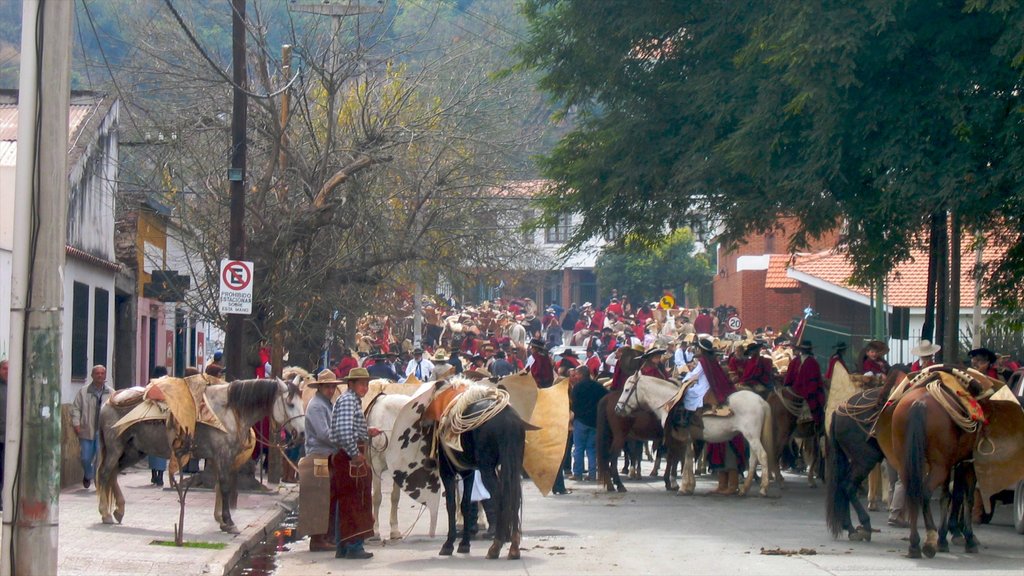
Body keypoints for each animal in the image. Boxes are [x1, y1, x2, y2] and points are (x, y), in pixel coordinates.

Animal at [95, 377, 303, 532]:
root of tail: (108, 402)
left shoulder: (219, 458)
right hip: (115, 448)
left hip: (133, 451)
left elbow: (219, 485)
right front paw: (229, 522)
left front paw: (220, 519)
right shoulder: (223, 455)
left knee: (113, 473)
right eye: (290, 404)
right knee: (105, 473)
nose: (301, 433)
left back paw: (119, 511)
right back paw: (106, 514)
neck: (229, 411)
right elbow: (225, 486)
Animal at [610, 375, 770, 496]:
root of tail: (761, 401)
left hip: (752, 436)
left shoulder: (679, 439)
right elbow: (687, 458)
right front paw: (688, 486)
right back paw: (745, 488)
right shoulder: (688, 439)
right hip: (750, 437)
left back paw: (763, 488)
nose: (617, 408)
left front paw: (680, 486)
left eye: (627, 390)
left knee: (762, 456)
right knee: (753, 459)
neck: (671, 404)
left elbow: (679, 460)